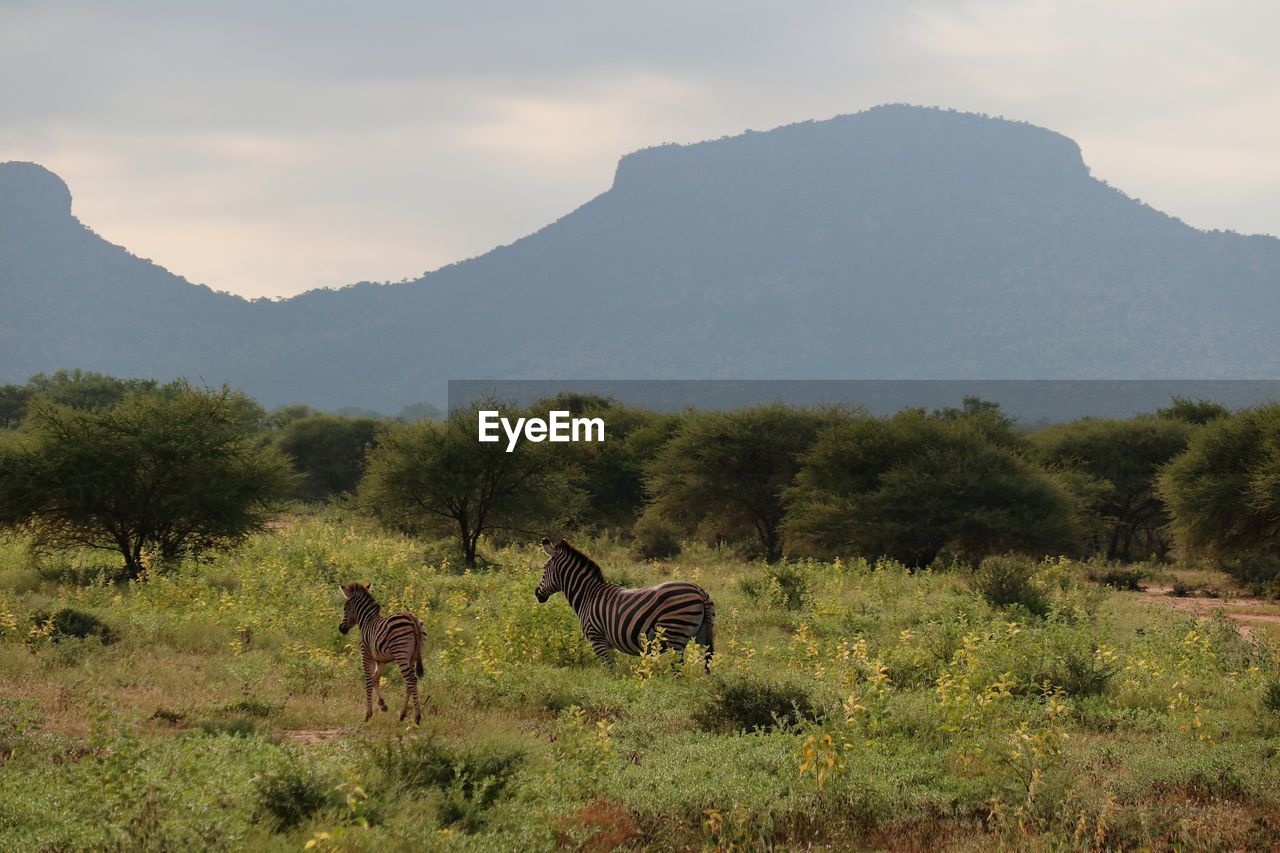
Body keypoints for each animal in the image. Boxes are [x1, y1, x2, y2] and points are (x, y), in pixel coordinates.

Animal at [337, 581, 427, 722]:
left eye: (345, 608)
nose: (341, 629)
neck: (366, 621)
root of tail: (412, 618)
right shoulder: (380, 660)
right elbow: (375, 679)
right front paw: (382, 705)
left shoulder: (365, 654)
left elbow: (368, 681)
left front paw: (368, 714)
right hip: (412, 657)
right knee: (410, 682)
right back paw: (402, 715)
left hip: (401, 653)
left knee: (411, 680)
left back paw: (417, 717)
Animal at [527, 537, 711, 671]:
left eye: (544, 569)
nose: (537, 594)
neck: (588, 595)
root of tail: (698, 590)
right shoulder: (608, 644)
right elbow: (613, 669)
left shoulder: (597, 638)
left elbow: (610, 671)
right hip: (702, 636)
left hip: (675, 635)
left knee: (678, 671)